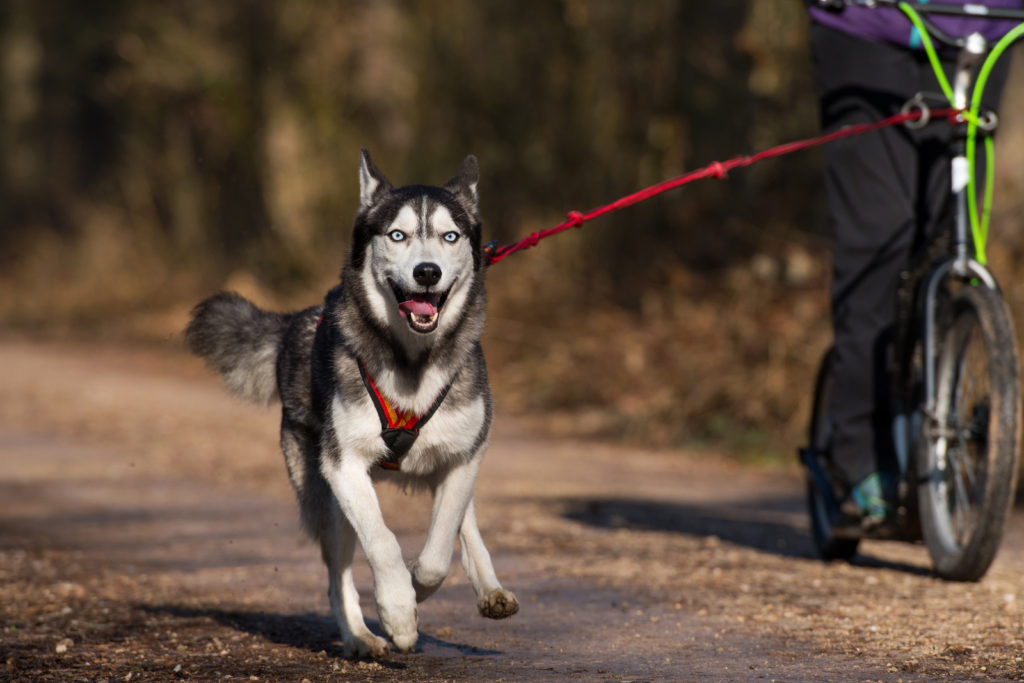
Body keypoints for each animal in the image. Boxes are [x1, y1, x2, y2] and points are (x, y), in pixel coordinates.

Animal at [184, 150, 516, 655]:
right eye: (397, 235)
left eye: (450, 236)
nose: (427, 272)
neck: (411, 363)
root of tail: (297, 323)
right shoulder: (342, 465)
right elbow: (382, 541)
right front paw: (398, 610)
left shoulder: (465, 455)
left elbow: (439, 548)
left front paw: (418, 586)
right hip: (325, 495)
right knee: (337, 576)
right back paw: (360, 636)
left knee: (463, 520)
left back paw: (489, 587)